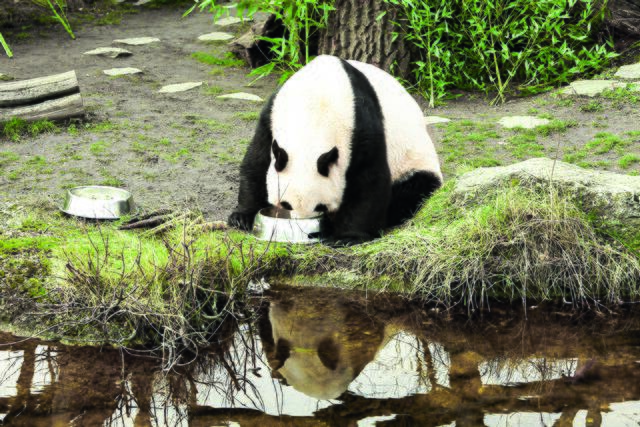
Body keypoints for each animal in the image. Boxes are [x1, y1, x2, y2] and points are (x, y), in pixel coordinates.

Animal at [228, 55, 443, 244]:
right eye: (286, 204)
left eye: (320, 206)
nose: (303, 227)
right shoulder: (271, 115)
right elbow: (257, 162)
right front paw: (241, 217)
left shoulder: (362, 125)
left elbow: (368, 180)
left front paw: (348, 236)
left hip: (414, 160)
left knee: (414, 188)